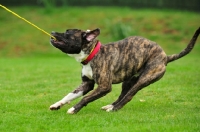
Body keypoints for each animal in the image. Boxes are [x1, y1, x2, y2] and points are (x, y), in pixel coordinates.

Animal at [49, 27, 199, 114]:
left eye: (67, 33)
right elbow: (69, 95)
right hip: (128, 80)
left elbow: (85, 98)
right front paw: (57, 104)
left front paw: (74, 109)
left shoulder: (104, 86)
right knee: (122, 95)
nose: (52, 32)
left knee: (128, 96)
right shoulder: (86, 84)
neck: (92, 54)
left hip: (144, 79)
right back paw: (109, 106)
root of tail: (165, 57)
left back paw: (114, 109)